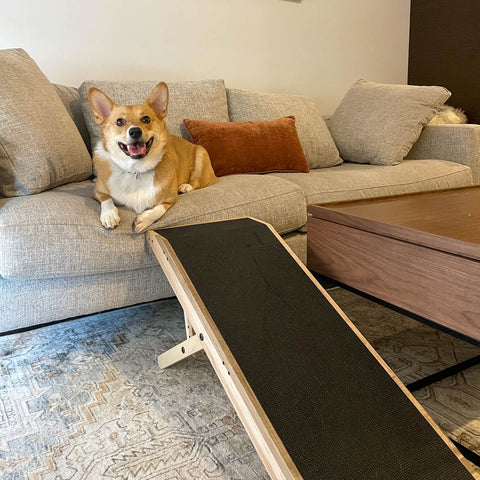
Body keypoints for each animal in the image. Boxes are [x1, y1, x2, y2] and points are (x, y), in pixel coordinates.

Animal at [87, 82, 218, 232]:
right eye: (119, 122)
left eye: (146, 119)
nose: (135, 131)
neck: (136, 170)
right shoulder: (98, 191)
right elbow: (106, 200)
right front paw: (109, 216)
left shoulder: (171, 199)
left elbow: (158, 209)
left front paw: (144, 220)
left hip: (201, 153)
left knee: (197, 182)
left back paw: (186, 186)